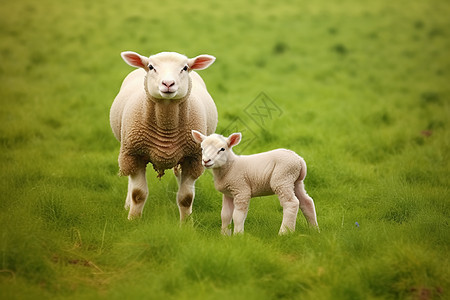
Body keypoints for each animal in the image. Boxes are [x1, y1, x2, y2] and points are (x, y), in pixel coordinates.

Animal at [111, 51, 219, 220]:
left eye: (185, 68)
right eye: (151, 67)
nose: (168, 84)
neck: (166, 125)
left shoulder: (193, 159)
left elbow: (186, 197)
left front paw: (186, 223)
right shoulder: (134, 154)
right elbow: (138, 194)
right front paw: (133, 219)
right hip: (127, 152)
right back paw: (127, 205)